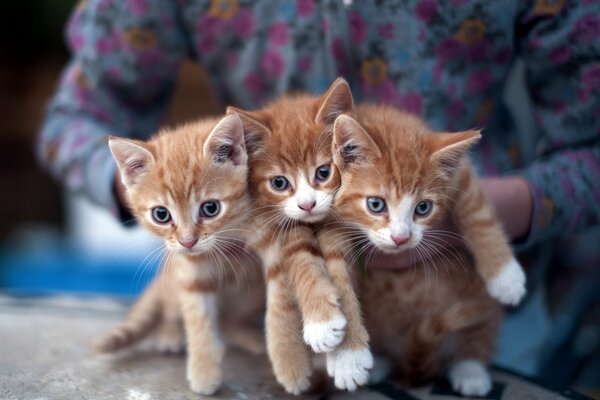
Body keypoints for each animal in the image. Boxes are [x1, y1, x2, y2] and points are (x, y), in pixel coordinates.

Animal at [318, 106, 510, 396]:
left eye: (423, 208)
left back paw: (470, 369)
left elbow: (477, 208)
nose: (401, 238)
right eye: (376, 204)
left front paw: (508, 278)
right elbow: (337, 274)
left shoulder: (459, 172)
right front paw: (348, 359)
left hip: (480, 308)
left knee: (478, 335)